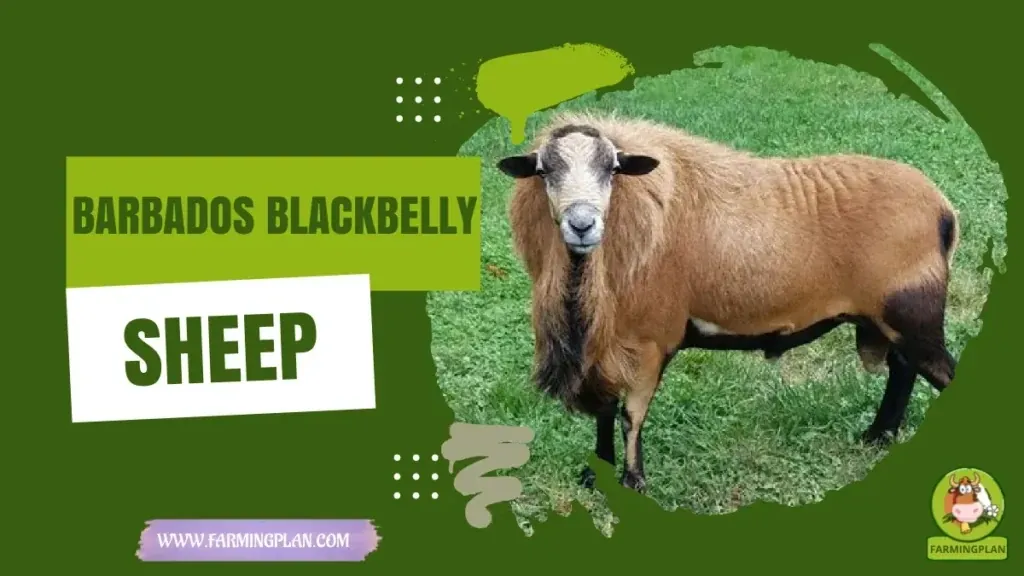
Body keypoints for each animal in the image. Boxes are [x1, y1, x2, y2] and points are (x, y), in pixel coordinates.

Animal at [497, 111, 960, 493]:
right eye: (543, 171)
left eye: (612, 169)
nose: (582, 225)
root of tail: (943, 211)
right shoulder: (606, 346)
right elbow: (606, 410)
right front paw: (596, 475)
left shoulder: (651, 340)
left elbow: (631, 415)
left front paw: (634, 482)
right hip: (887, 320)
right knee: (903, 368)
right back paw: (877, 437)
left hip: (911, 312)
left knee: (933, 370)